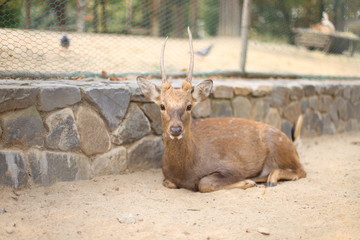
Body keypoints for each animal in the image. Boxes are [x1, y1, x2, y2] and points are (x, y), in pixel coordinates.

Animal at [136, 27, 306, 193]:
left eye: (189, 106)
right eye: (162, 105)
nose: (176, 129)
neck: (185, 171)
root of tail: (292, 144)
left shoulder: (232, 166)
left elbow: (203, 183)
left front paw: (246, 182)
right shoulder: (166, 176)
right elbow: (168, 182)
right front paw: (248, 181)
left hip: (279, 146)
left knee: (301, 170)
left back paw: (269, 180)